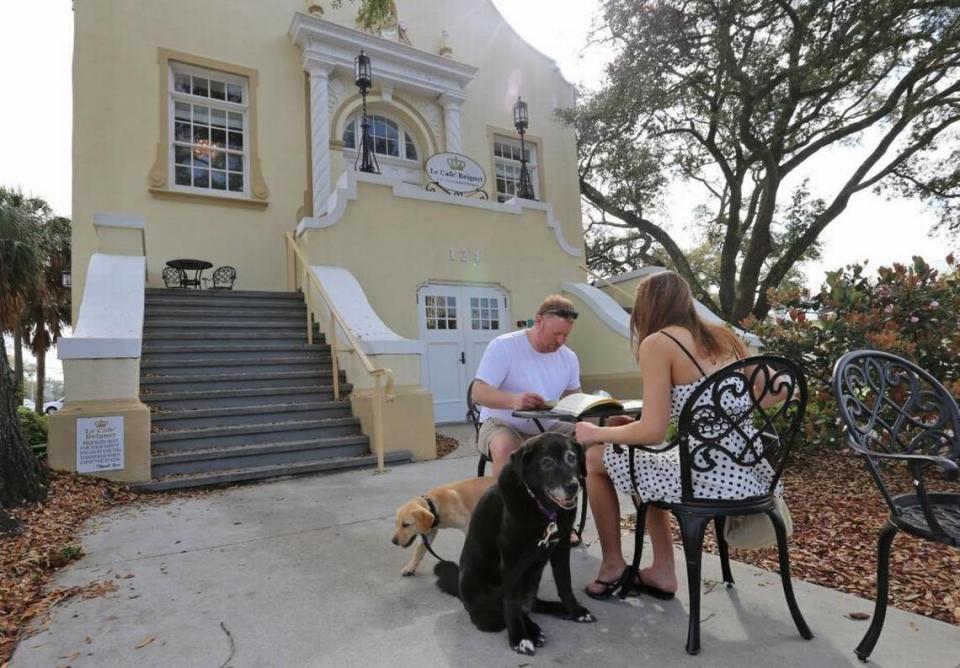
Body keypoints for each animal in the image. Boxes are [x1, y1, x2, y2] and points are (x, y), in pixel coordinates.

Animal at [436, 430, 592, 656]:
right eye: (547, 462)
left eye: (571, 457)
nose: (573, 486)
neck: (543, 510)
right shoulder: (512, 559)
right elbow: (511, 603)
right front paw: (519, 638)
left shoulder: (561, 547)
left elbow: (565, 583)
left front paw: (575, 610)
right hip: (474, 579)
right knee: (497, 610)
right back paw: (532, 630)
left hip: (533, 576)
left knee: (530, 603)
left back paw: (556, 609)